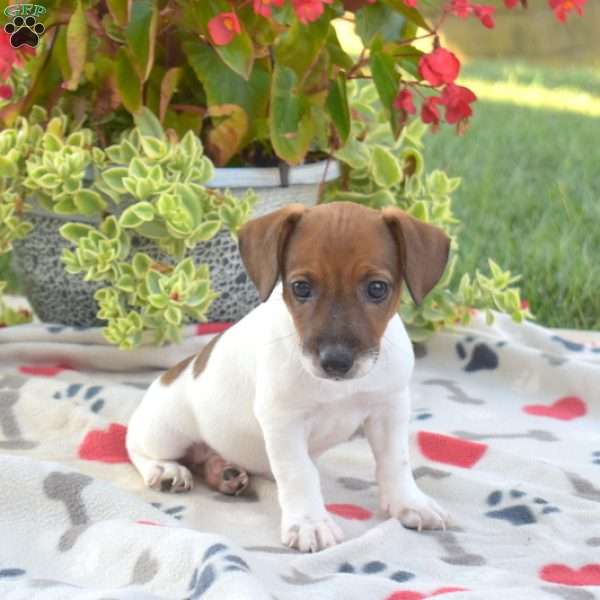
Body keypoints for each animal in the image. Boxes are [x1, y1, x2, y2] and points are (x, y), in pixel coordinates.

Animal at [126, 202, 450, 552]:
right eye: (301, 287)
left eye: (377, 288)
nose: (336, 362)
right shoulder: (284, 422)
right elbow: (299, 473)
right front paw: (310, 523)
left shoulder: (388, 410)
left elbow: (396, 461)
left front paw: (410, 503)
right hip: (164, 432)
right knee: (136, 447)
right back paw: (166, 469)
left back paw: (222, 471)